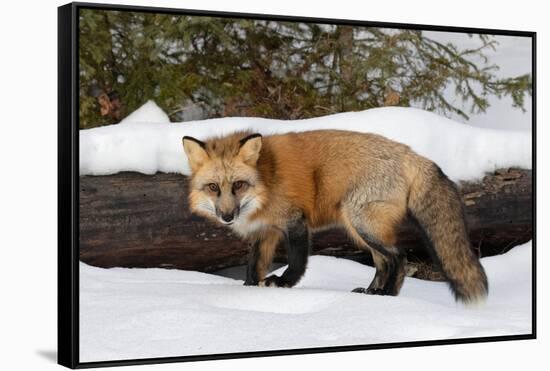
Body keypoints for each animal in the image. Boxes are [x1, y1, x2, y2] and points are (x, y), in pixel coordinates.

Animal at [183, 129, 490, 304]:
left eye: (238, 185)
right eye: (213, 187)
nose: (227, 216)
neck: (266, 182)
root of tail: (410, 153)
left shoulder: (295, 222)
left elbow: (297, 262)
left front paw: (282, 284)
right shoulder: (264, 232)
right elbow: (253, 267)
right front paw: (248, 291)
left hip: (362, 224)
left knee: (398, 258)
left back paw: (388, 296)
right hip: (358, 228)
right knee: (383, 263)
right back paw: (373, 294)